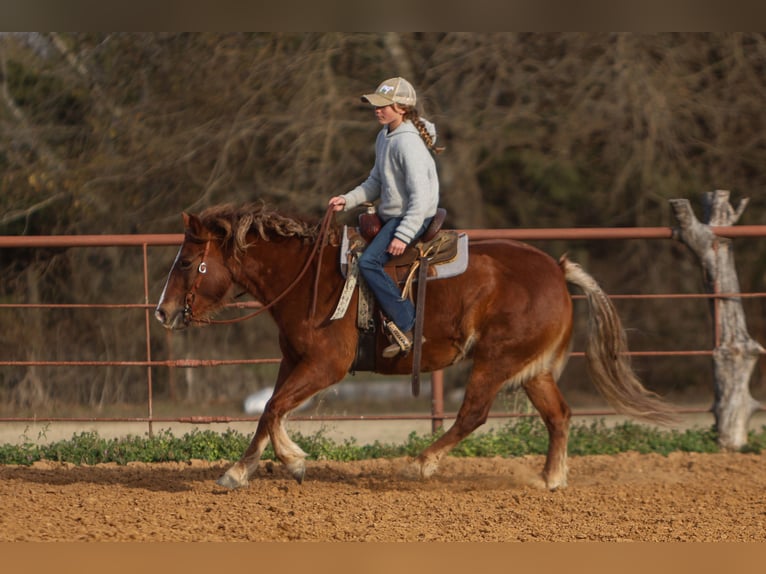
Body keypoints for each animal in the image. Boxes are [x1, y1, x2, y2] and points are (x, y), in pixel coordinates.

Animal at [156, 201, 680, 490]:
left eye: (184, 262)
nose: (162, 311)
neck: (307, 277)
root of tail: (557, 267)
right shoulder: (295, 360)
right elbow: (271, 411)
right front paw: (265, 465)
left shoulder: (327, 364)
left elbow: (272, 409)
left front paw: (269, 466)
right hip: (531, 369)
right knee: (559, 415)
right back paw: (551, 479)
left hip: (495, 360)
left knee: (474, 414)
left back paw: (421, 464)